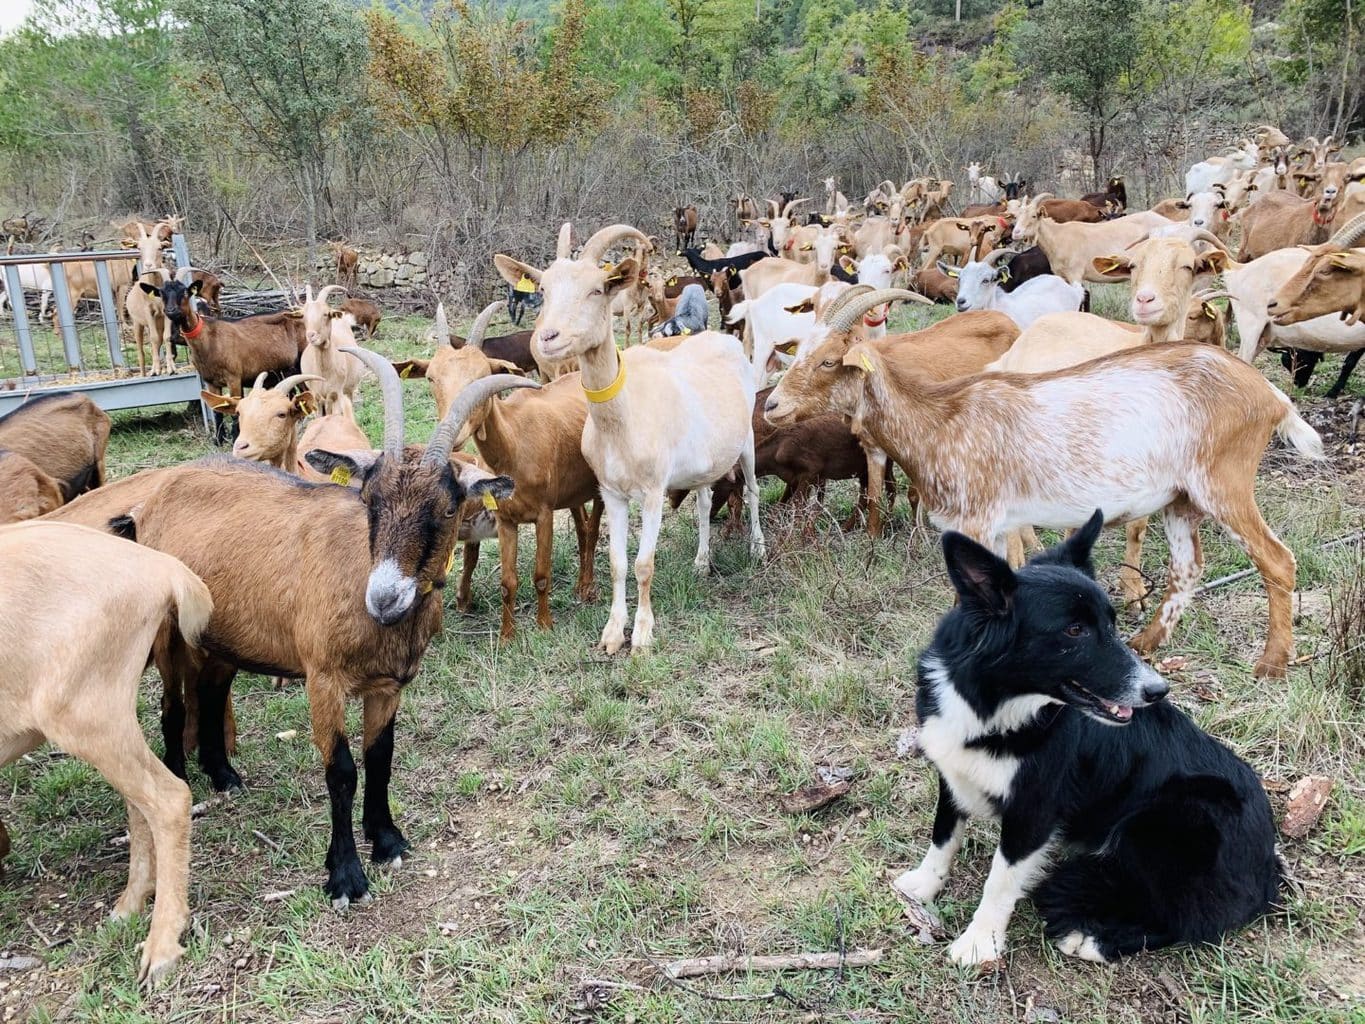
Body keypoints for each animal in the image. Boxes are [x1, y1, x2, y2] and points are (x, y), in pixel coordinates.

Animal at [0, 524, 210, 988]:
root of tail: (163, 569)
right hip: (109, 715)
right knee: (139, 804)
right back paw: (129, 906)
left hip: (84, 710)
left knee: (168, 798)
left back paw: (161, 947)